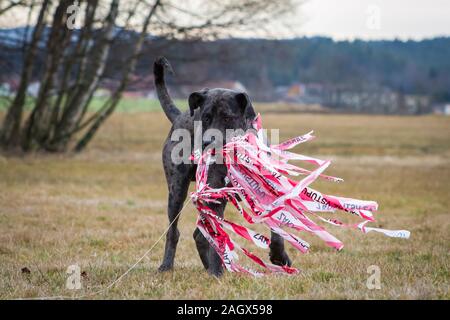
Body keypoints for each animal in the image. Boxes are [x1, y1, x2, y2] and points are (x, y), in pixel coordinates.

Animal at [153, 56, 292, 276]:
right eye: (205, 117)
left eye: (227, 117)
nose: (206, 142)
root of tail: (179, 116)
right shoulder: (215, 192)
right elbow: (216, 235)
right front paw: (217, 269)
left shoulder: (268, 190)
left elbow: (277, 227)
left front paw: (280, 256)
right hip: (177, 189)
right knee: (174, 232)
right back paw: (169, 266)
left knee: (199, 235)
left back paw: (209, 266)